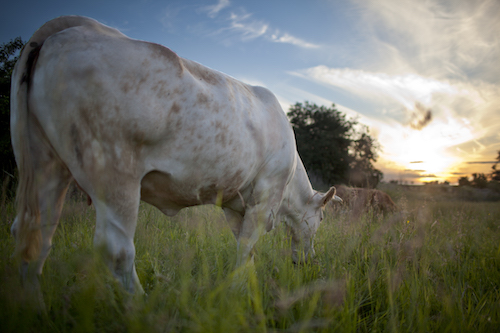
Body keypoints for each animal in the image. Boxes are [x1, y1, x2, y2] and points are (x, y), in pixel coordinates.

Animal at [9, 16, 342, 294]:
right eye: (322, 217)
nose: (307, 260)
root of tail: (73, 28)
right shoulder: (264, 199)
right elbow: (247, 247)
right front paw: (238, 291)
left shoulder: (235, 204)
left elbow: (243, 249)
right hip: (113, 170)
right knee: (116, 250)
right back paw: (140, 309)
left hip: (46, 164)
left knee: (33, 237)